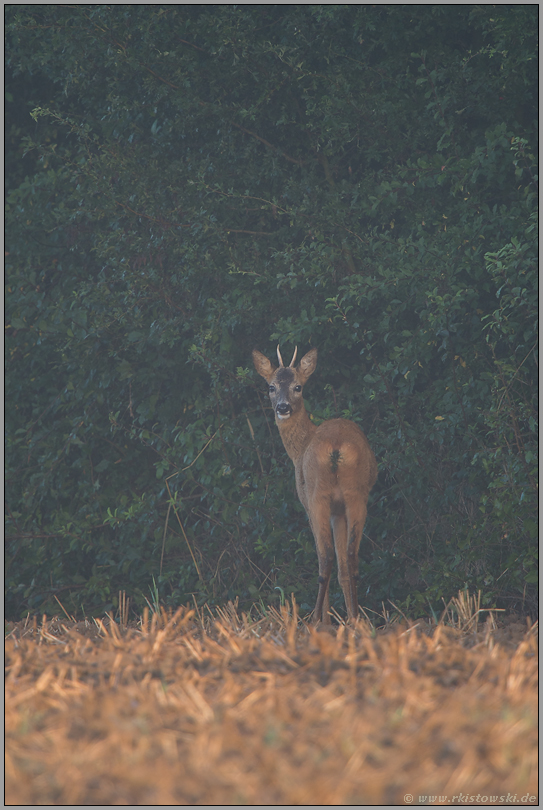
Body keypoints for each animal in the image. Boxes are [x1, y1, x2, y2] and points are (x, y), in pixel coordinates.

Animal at [252, 344, 376, 620]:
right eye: (271, 387)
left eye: (298, 387)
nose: (283, 408)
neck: (299, 448)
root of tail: (337, 447)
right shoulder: (339, 510)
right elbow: (343, 568)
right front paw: (350, 618)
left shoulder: (308, 503)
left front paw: (327, 620)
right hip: (356, 495)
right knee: (351, 556)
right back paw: (357, 618)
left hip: (318, 495)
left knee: (326, 557)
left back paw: (316, 619)